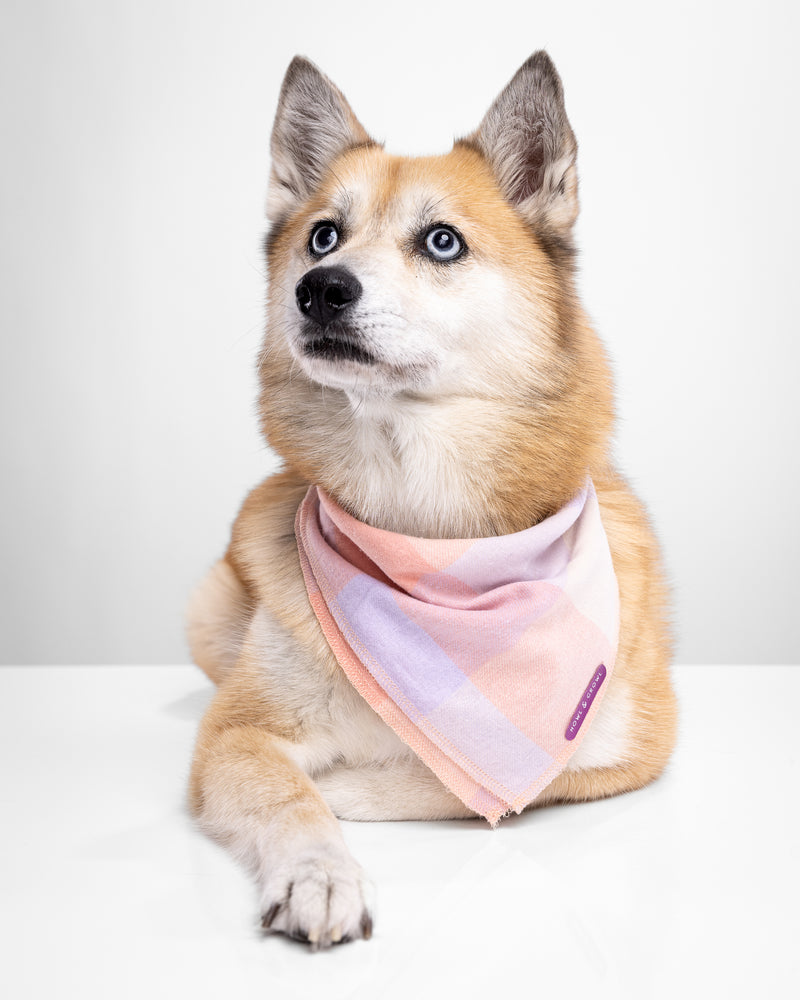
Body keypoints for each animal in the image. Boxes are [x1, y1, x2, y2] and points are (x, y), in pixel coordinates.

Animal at [186, 50, 676, 948]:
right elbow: (286, 795)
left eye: (442, 241)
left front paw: (351, 785)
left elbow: (484, 786)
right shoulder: (238, 732)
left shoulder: (632, 743)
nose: (321, 288)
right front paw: (320, 871)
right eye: (323, 235)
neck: (430, 534)